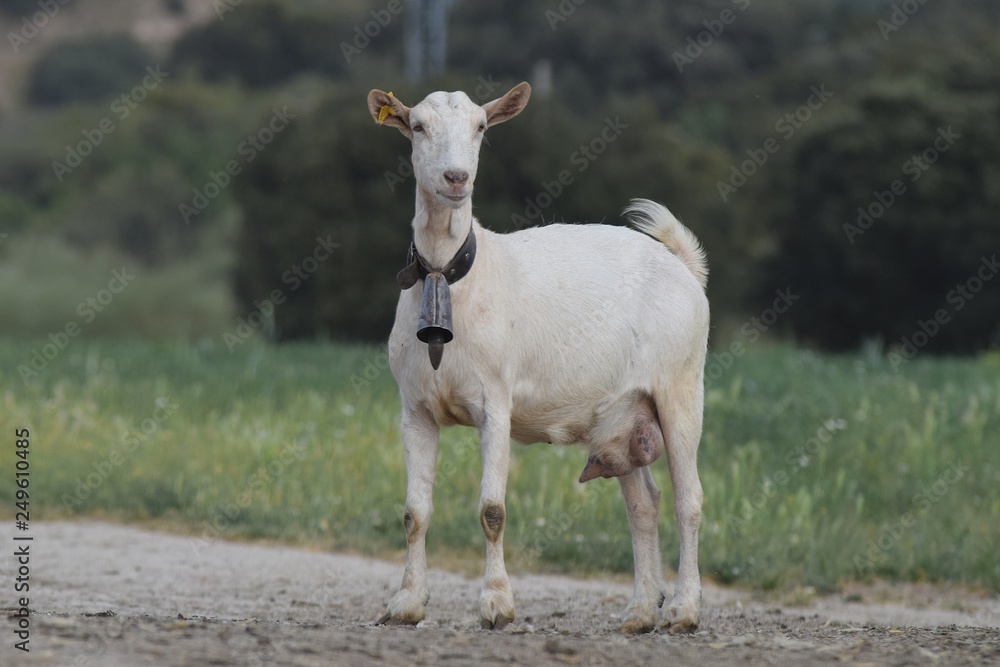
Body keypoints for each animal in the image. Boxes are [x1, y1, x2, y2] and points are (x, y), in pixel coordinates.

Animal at [367, 82, 708, 634]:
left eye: (481, 127)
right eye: (417, 126)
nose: (456, 178)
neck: (449, 273)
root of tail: (684, 267)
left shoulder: (495, 404)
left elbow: (492, 509)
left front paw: (496, 605)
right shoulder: (415, 409)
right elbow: (414, 513)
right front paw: (406, 604)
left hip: (681, 386)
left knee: (688, 499)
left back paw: (683, 610)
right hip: (624, 411)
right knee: (644, 504)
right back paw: (639, 612)